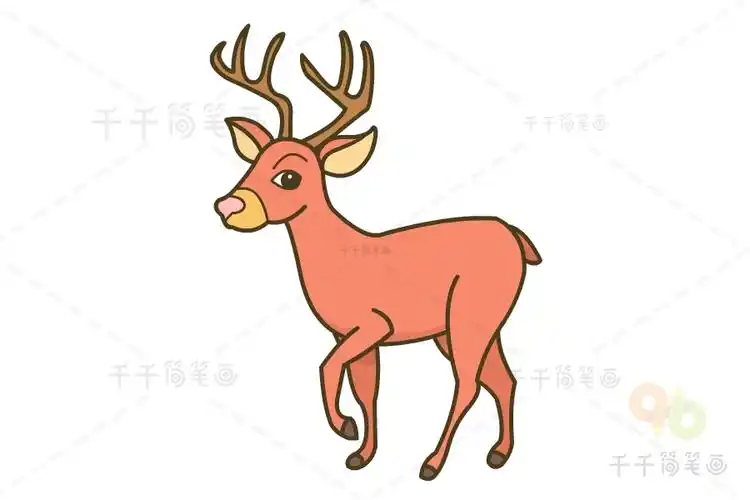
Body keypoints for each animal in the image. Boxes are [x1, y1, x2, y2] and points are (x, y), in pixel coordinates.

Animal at [210, 24, 542, 481]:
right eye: (253, 162)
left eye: (289, 176)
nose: (228, 206)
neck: (340, 258)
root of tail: (515, 235)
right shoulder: (349, 333)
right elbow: (366, 390)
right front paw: (361, 455)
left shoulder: (374, 323)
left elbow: (327, 367)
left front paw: (343, 427)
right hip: (467, 324)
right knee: (502, 379)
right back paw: (498, 454)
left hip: (470, 312)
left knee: (468, 383)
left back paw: (432, 464)